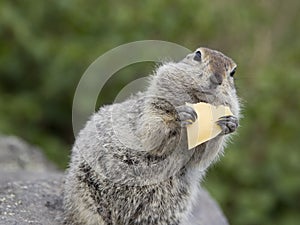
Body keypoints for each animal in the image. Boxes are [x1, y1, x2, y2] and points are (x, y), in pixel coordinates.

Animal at [63, 46, 241, 224]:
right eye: (198, 55)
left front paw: (229, 123)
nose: (217, 79)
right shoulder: (151, 108)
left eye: (233, 72)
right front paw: (178, 116)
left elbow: (202, 156)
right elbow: (151, 130)